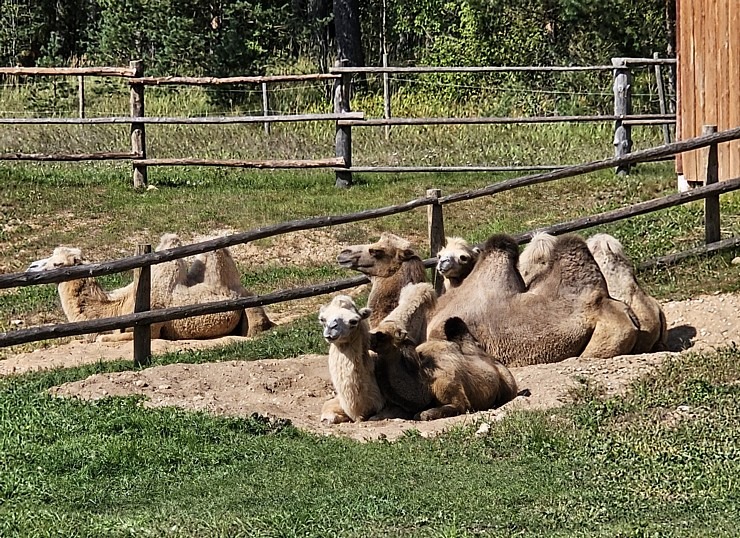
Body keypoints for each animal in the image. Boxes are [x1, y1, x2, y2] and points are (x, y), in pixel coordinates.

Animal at [370, 280, 520, 418]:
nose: (369, 339)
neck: (425, 380)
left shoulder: (454, 393)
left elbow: (424, 414)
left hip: (508, 382)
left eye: (382, 335)